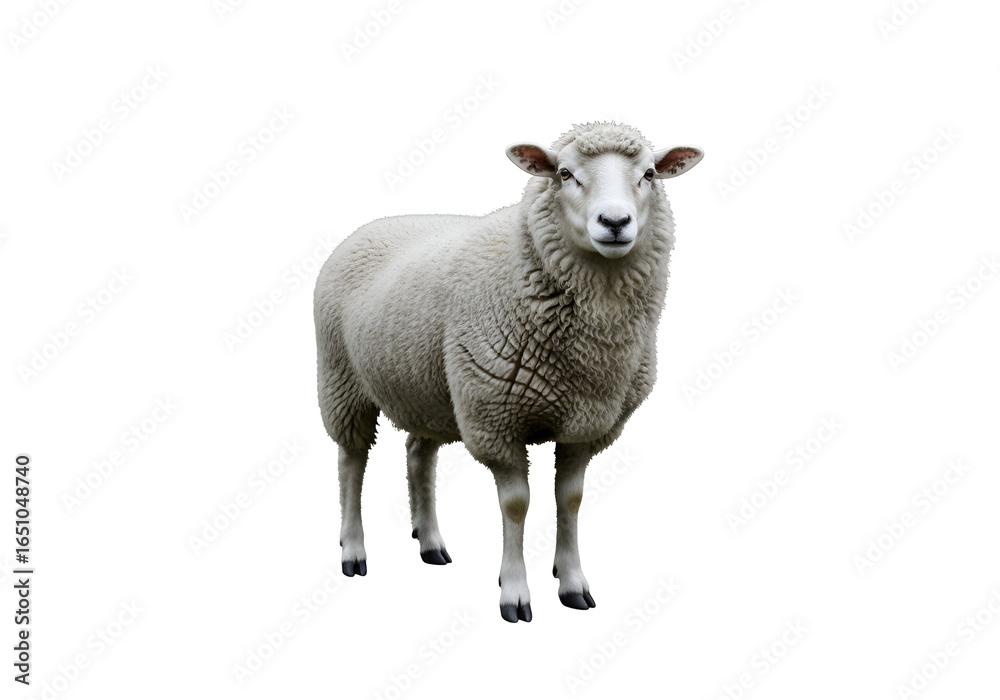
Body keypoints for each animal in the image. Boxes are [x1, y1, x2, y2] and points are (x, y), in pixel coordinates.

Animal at [314, 122, 702, 622]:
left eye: (650, 174)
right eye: (564, 173)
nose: (615, 222)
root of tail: (374, 225)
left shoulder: (587, 422)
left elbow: (569, 499)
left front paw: (572, 582)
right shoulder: (496, 418)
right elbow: (516, 506)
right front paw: (514, 592)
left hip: (429, 387)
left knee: (419, 454)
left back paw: (430, 542)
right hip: (341, 380)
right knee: (351, 461)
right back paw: (353, 550)